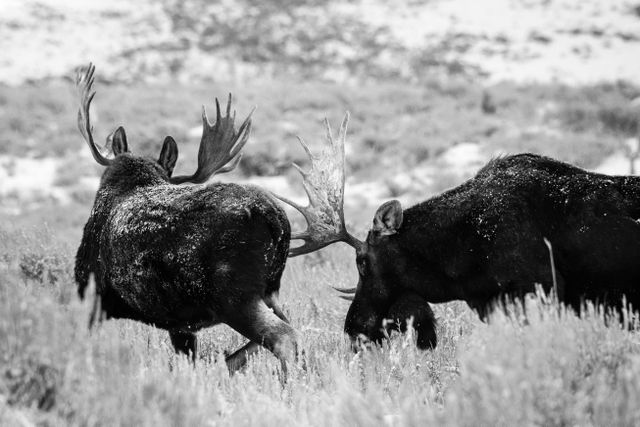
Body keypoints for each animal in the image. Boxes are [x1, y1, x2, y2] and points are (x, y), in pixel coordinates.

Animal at [73, 64, 298, 374]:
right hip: (268, 290)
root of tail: (277, 220)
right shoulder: (180, 323)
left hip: (235, 296)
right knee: (281, 330)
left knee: (283, 336)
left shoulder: (89, 289)